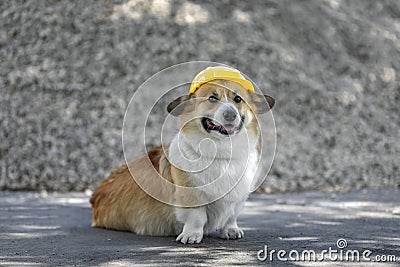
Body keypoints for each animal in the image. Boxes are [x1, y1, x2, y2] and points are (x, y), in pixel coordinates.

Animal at [90, 67, 276, 245]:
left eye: (238, 99)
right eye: (212, 98)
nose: (230, 114)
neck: (222, 153)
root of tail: (95, 198)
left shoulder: (238, 199)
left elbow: (231, 216)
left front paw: (231, 230)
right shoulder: (191, 197)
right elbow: (197, 217)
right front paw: (191, 235)